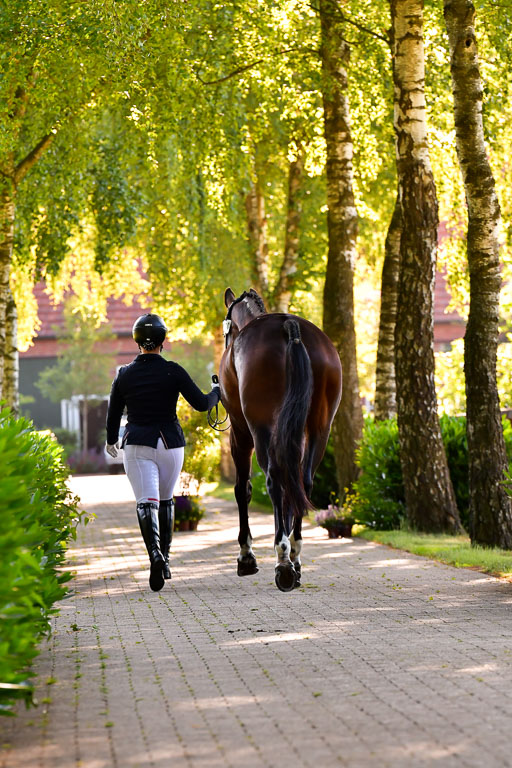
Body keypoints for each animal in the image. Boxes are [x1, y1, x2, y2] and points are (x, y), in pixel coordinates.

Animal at [219, 288, 342, 592]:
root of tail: (289, 326)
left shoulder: (240, 432)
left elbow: (243, 489)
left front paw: (246, 556)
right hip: (319, 427)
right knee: (303, 481)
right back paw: (294, 554)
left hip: (260, 427)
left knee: (274, 479)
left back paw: (283, 559)